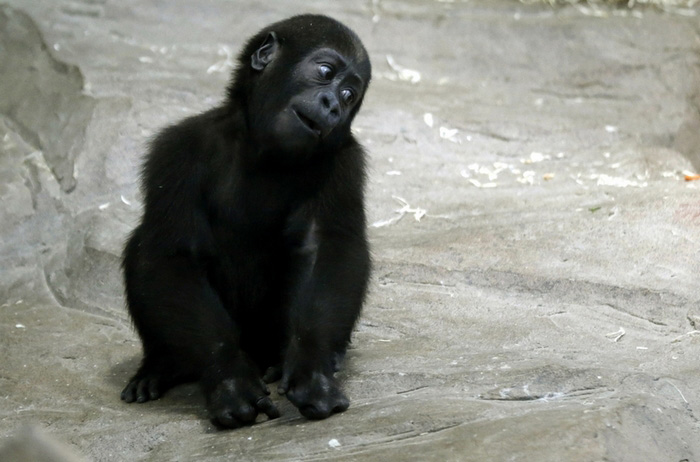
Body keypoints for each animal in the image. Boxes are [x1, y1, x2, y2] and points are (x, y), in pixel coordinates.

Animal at [120, 14, 372, 428]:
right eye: (325, 73)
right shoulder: (177, 148)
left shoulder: (343, 159)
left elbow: (326, 248)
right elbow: (173, 253)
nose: (333, 106)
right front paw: (229, 378)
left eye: (350, 95)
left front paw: (312, 367)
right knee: (143, 246)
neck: (262, 146)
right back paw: (163, 363)